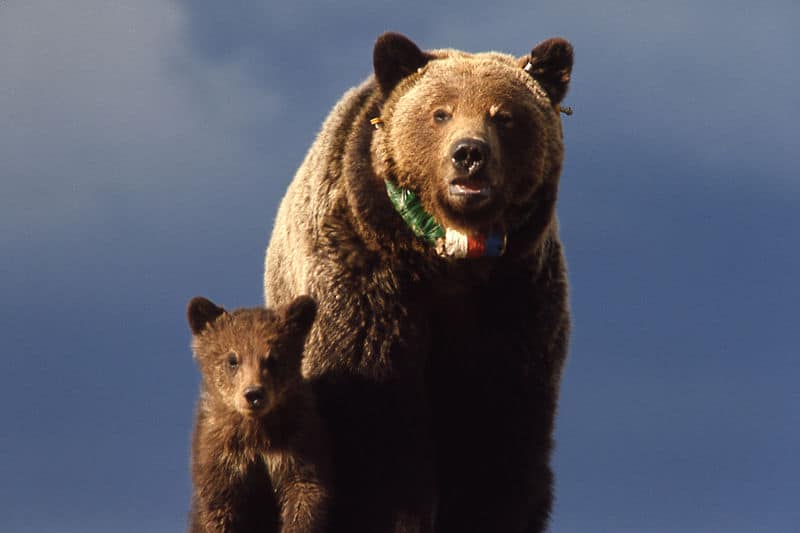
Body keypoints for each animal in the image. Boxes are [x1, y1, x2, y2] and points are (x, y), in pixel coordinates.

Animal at [266, 33, 572, 532]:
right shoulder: (365, 286)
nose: (469, 154)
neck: (446, 262)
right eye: (440, 112)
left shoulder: (514, 304)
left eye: (504, 115)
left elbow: (500, 436)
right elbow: (379, 430)